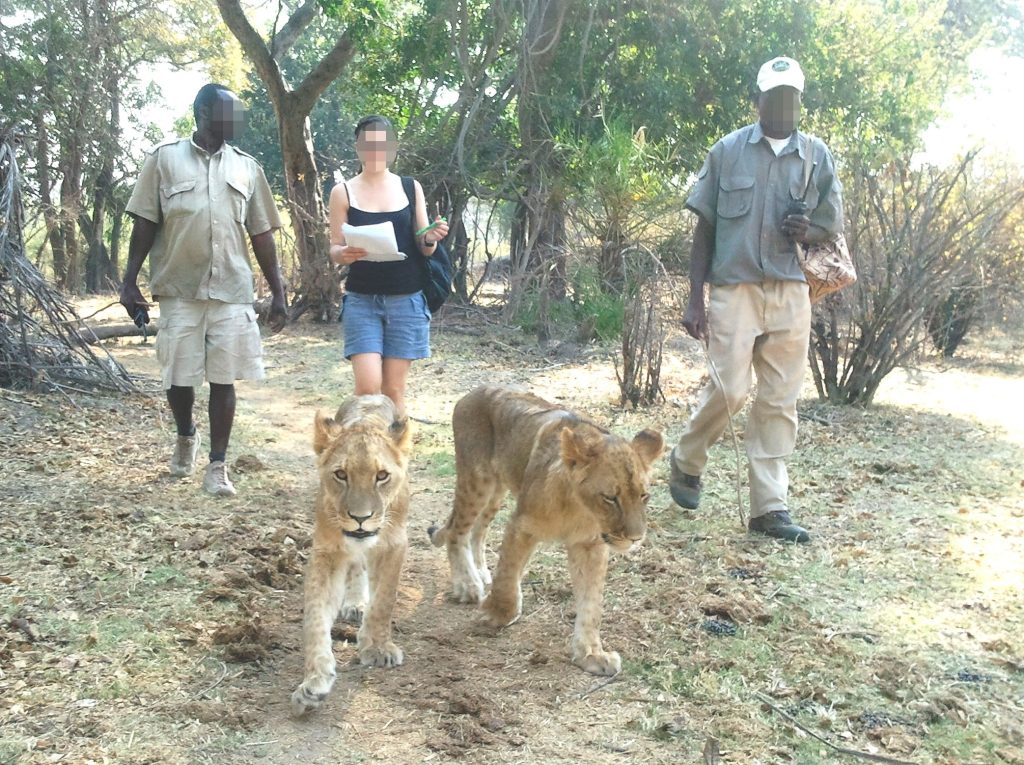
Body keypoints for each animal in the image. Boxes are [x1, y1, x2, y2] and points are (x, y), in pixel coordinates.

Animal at [290, 395, 409, 716]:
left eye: (382, 476)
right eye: (341, 475)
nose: (360, 518)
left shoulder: (394, 544)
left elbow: (384, 601)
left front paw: (377, 649)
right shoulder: (327, 551)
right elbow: (315, 616)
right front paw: (314, 680)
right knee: (357, 566)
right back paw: (355, 603)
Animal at [425, 389, 659, 675]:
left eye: (644, 495)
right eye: (610, 498)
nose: (635, 538)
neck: (578, 510)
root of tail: (473, 392)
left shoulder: (591, 546)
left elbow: (591, 604)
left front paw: (591, 654)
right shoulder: (521, 525)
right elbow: (508, 574)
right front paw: (495, 613)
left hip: (498, 490)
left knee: (478, 531)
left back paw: (480, 574)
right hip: (476, 481)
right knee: (457, 531)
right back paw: (468, 585)